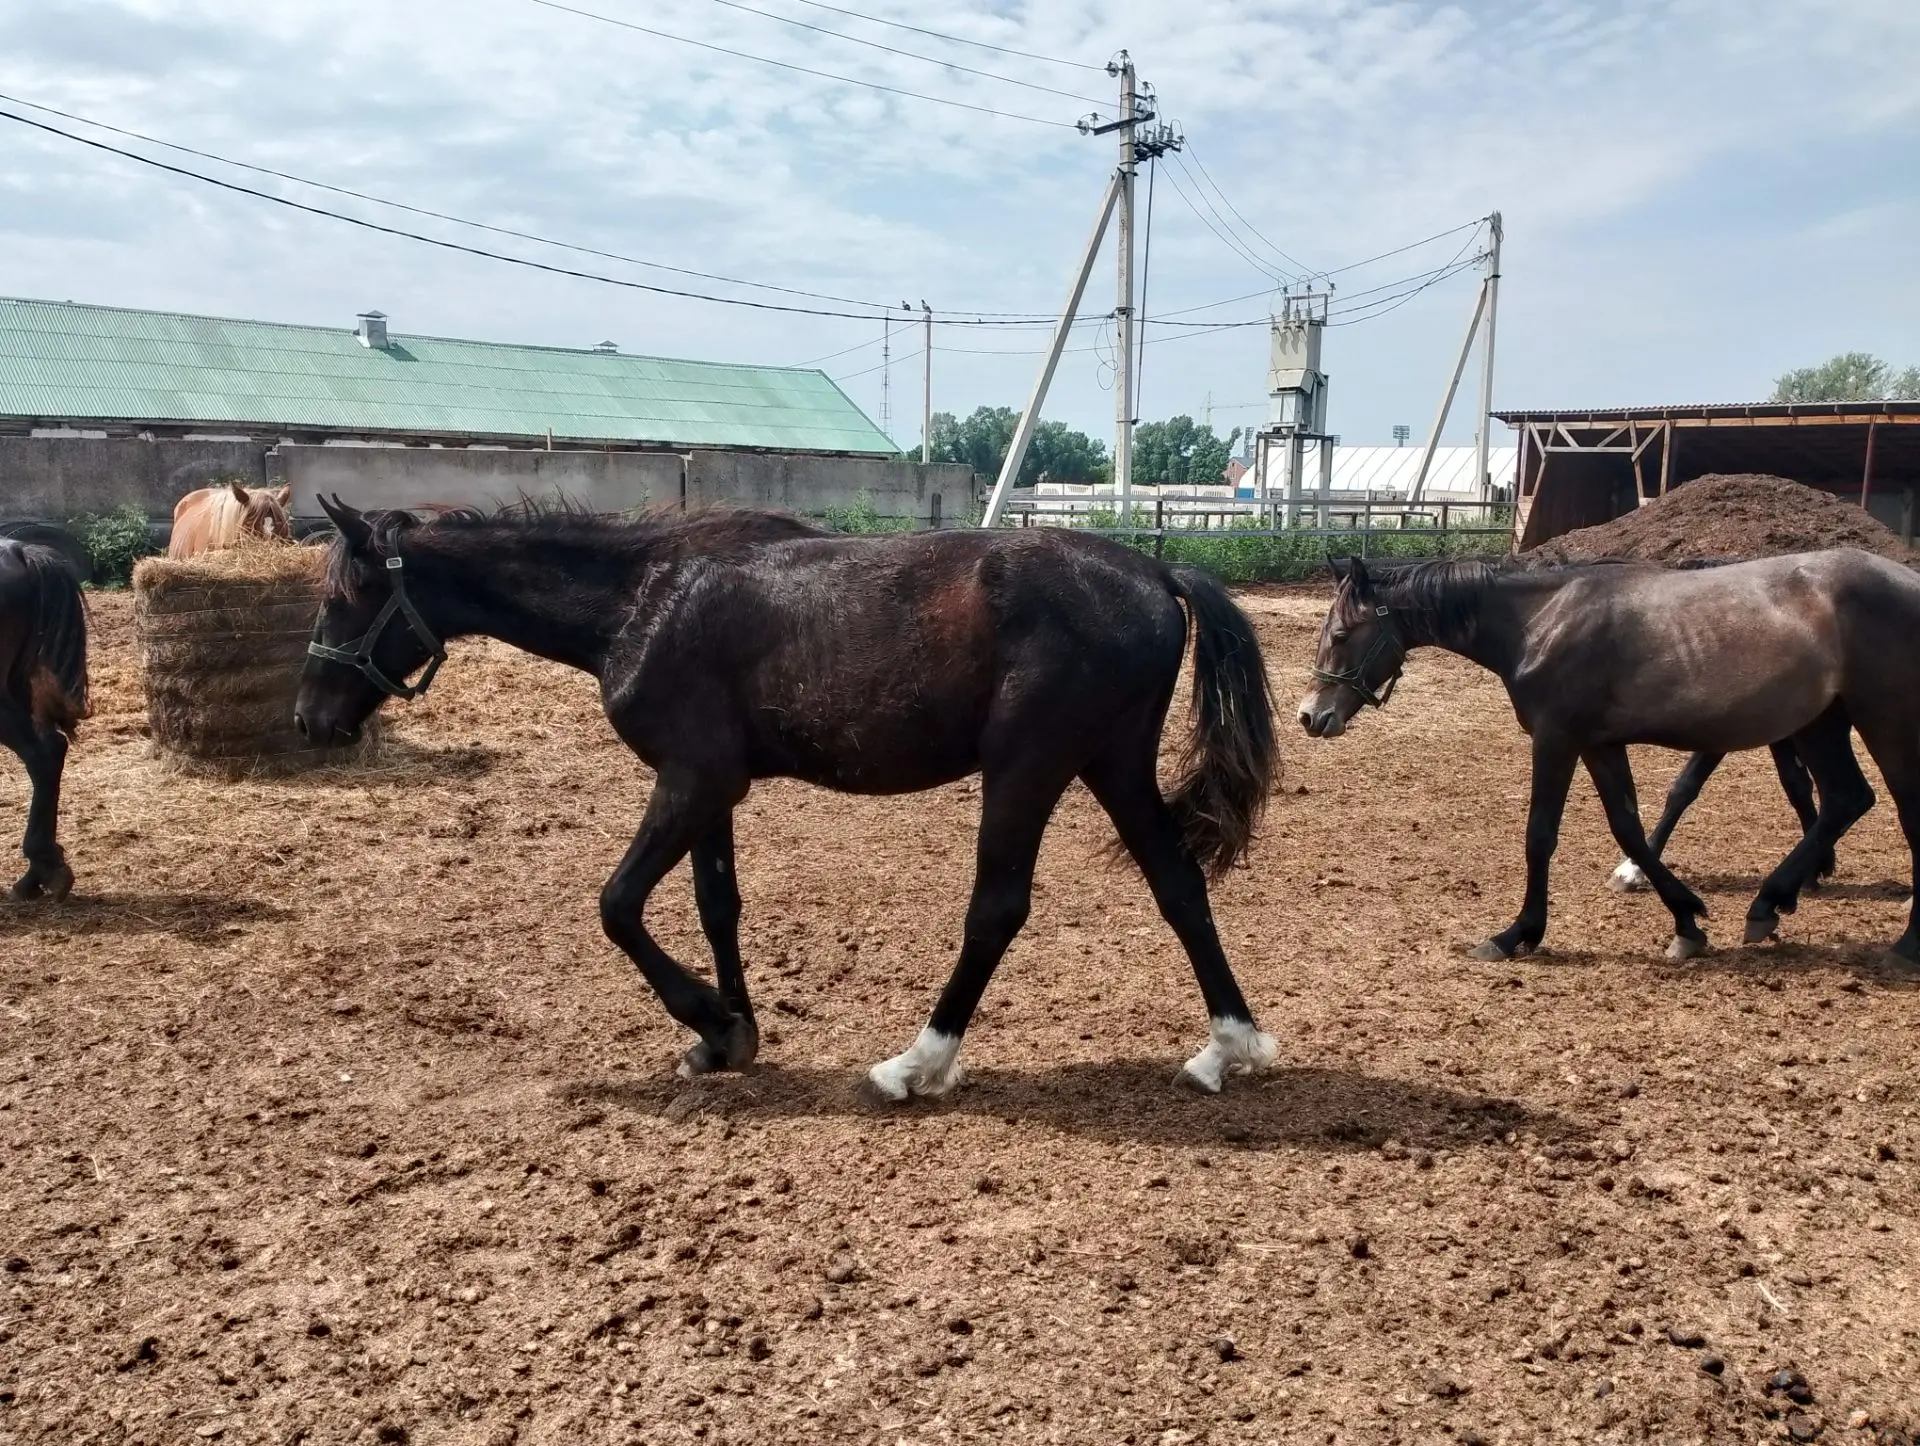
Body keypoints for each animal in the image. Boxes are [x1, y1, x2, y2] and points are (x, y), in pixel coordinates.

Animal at [293, 497, 1284, 1096]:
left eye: (349, 595)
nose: (309, 720)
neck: (641, 600)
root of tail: (1155, 574)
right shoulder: (709, 789)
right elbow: (716, 903)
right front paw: (730, 1032)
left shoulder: (692, 779)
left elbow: (618, 904)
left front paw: (707, 1016)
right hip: (1111, 764)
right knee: (1178, 887)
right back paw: (1226, 1048)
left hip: (1029, 768)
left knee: (997, 910)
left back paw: (915, 1064)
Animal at [1295, 551, 1920, 970]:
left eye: (1343, 633)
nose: (1311, 716)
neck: (1541, 621)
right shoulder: (1599, 744)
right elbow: (1630, 830)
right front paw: (1686, 921)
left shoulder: (1556, 739)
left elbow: (1540, 835)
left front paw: (1516, 933)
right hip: (1821, 724)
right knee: (1845, 799)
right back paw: (1769, 903)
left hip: (1883, 721)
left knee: (1896, 814)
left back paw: (1903, 943)